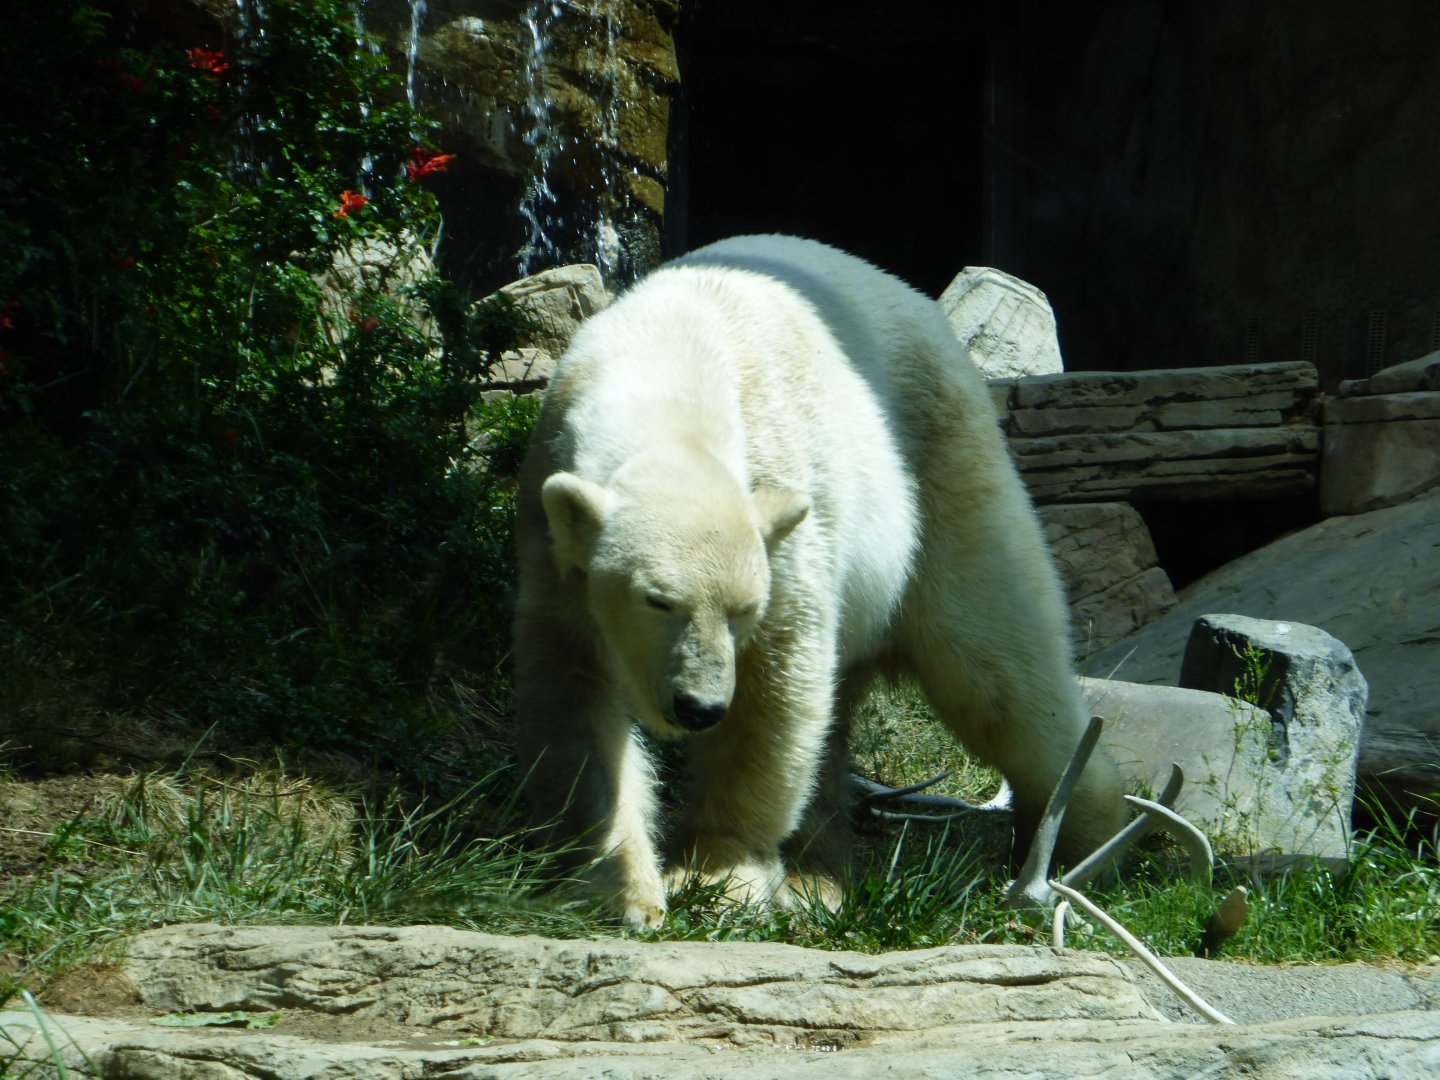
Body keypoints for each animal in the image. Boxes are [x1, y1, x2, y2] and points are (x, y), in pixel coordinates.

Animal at [511, 235, 1126, 928]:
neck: (669, 370)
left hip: (939, 469)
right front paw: (619, 890)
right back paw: (819, 877)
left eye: (743, 610)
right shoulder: (551, 533)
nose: (699, 708)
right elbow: (576, 695)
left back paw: (1082, 839)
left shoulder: (782, 500)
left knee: (994, 663)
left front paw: (718, 875)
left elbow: (772, 692)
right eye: (657, 600)